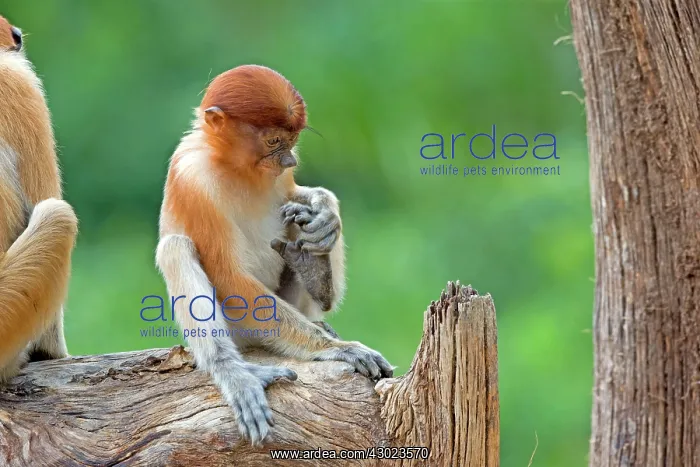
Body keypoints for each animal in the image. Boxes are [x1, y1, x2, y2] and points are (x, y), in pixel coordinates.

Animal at [156, 64, 392, 446]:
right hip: (242, 330)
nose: (290, 159)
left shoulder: (283, 179)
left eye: (292, 141)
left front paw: (324, 212)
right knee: (175, 246)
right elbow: (228, 275)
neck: (234, 167)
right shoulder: (192, 178)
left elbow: (296, 195)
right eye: (272, 141)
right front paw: (342, 349)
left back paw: (315, 272)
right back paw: (236, 372)